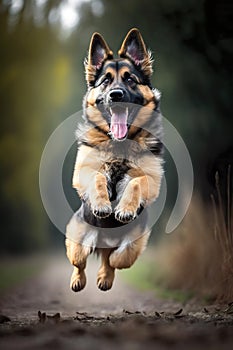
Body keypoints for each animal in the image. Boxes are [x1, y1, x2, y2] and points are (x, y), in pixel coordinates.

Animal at [65, 27, 163, 292]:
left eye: (130, 79)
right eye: (106, 81)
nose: (116, 94)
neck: (120, 143)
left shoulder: (153, 182)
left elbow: (137, 180)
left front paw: (125, 209)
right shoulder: (83, 173)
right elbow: (98, 176)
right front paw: (102, 204)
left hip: (137, 238)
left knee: (114, 257)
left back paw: (105, 276)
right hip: (79, 237)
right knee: (78, 260)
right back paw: (78, 280)